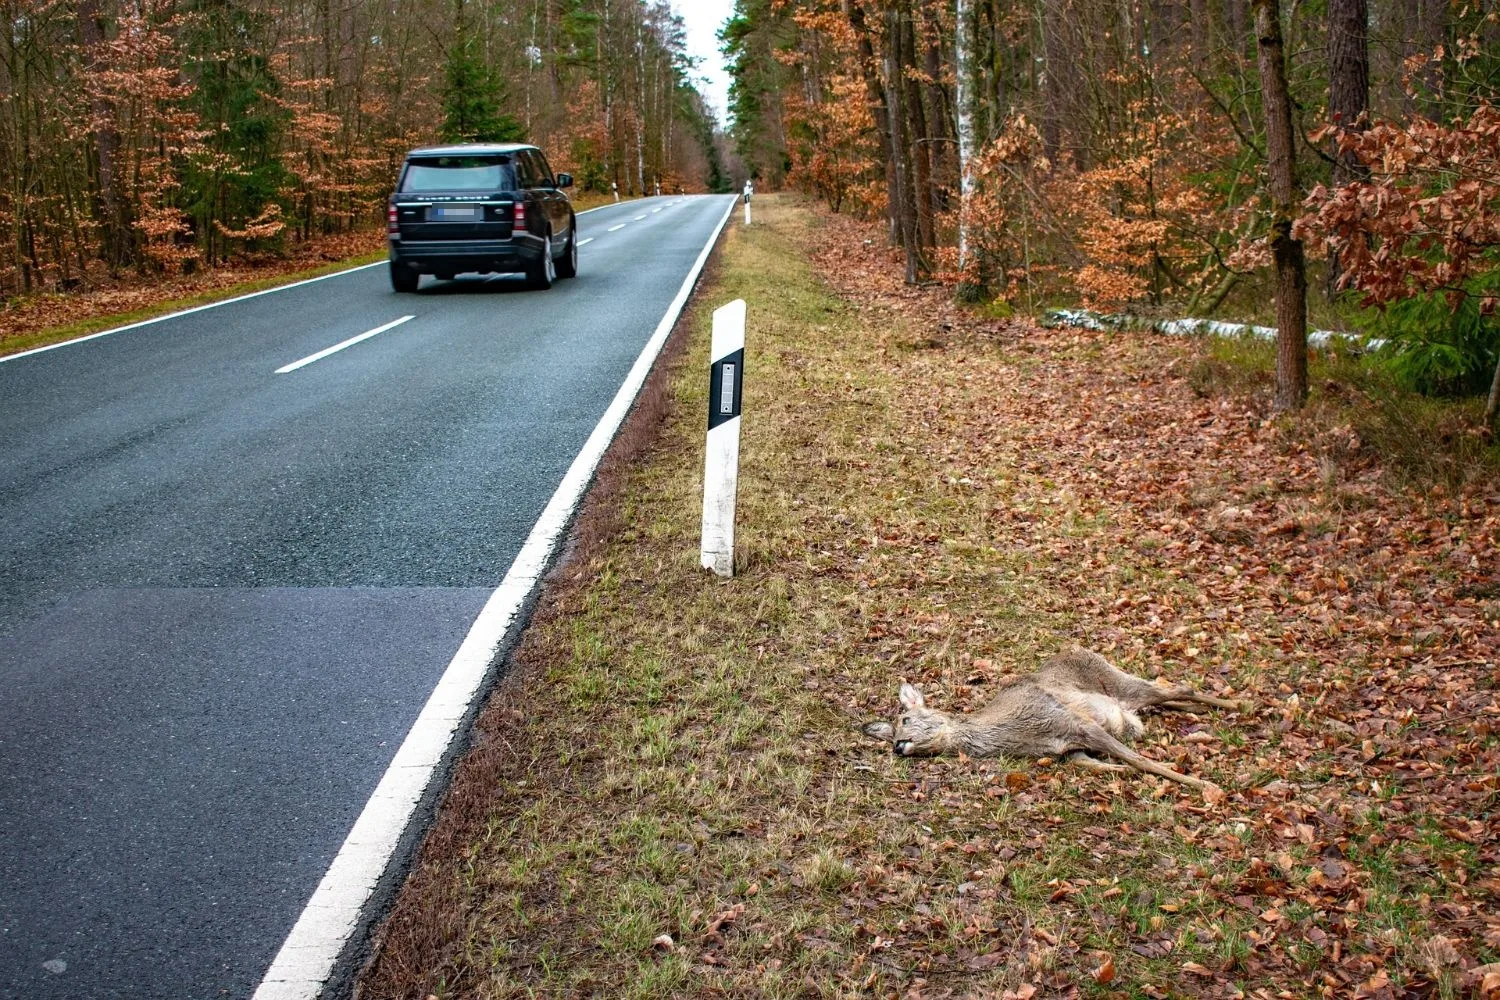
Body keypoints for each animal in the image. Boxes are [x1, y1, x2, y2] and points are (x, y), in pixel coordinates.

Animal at [862, 647, 1243, 791]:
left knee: (1179, 686)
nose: (898, 747)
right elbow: (1099, 764)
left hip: (1119, 679)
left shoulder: (1075, 723)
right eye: (890, 735)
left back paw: (1239, 704)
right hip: (1127, 699)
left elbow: (1141, 760)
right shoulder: (1069, 749)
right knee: (1167, 698)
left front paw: (1204, 785)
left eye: (905, 719)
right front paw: (1119, 773)